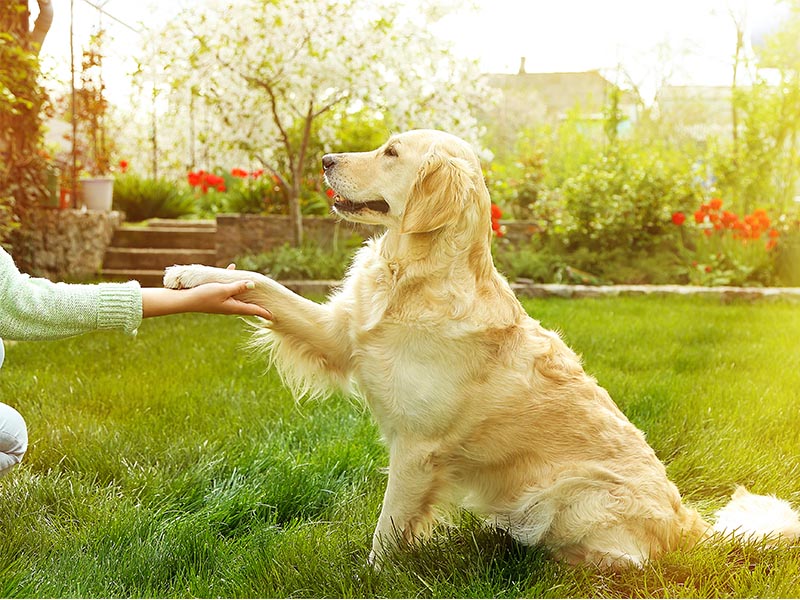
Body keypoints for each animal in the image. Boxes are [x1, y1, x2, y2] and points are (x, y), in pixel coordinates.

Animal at [164, 129, 800, 568]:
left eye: (390, 153)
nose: (324, 160)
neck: (411, 276)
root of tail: (691, 523)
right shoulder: (339, 334)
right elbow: (260, 282)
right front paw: (191, 275)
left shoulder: (418, 449)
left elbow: (387, 529)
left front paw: (370, 575)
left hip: (571, 497)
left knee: (622, 560)